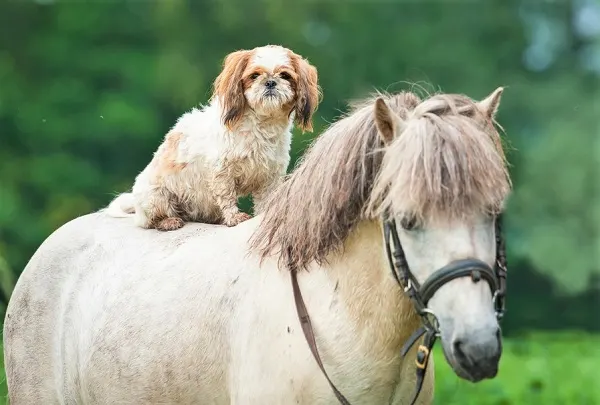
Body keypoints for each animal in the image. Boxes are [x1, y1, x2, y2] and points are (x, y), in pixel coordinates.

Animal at [105, 44, 322, 230]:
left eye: (285, 75)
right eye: (254, 76)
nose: (270, 82)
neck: (261, 124)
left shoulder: (270, 176)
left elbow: (265, 200)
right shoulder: (222, 172)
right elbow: (227, 196)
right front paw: (234, 217)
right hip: (156, 197)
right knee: (151, 221)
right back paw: (169, 221)